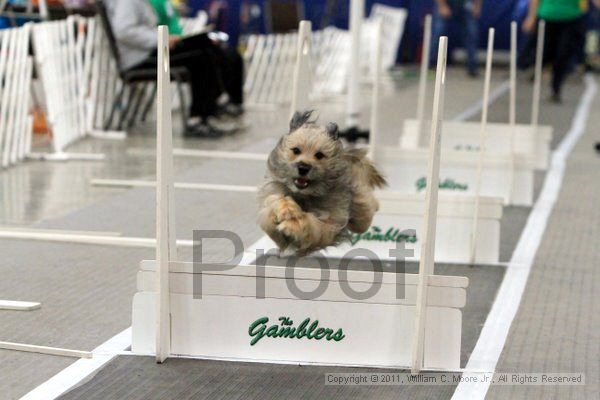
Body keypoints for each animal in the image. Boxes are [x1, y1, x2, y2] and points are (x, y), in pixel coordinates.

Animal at [256, 111, 386, 256]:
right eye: (296, 150)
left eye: (319, 155)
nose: (303, 167)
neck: (304, 195)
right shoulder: (270, 215)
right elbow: (274, 206)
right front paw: (287, 209)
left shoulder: (329, 225)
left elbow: (315, 226)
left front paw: (293, 225)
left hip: (360, 213)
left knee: (364, 213)